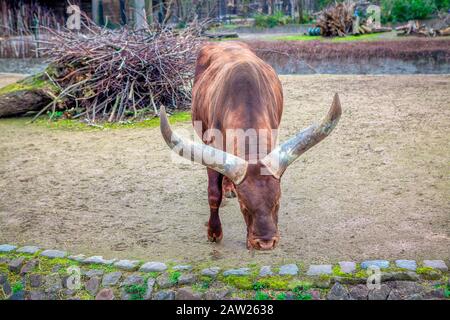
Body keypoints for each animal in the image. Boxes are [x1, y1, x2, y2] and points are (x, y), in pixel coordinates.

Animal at [160, 41, 340, 250]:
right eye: (243, 205)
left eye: (277, 203)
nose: (265, 243)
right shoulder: (211, 148)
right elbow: (213, 194)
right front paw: (214, 232)